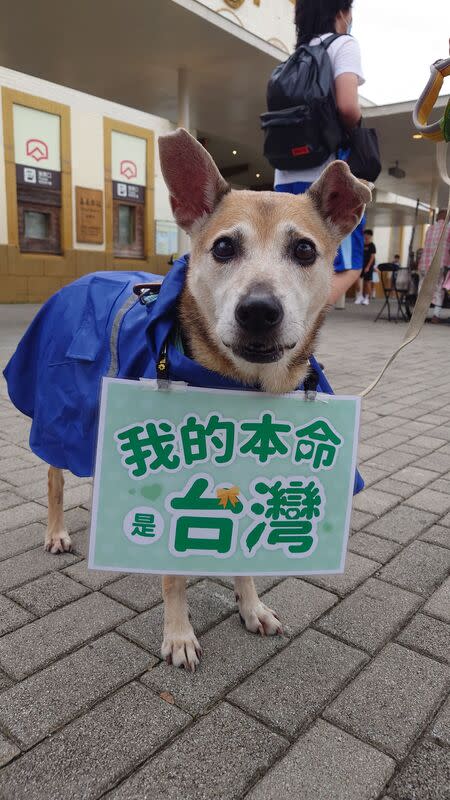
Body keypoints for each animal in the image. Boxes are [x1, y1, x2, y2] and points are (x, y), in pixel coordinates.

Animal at [44, 130, 370, 668]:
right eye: (223, 247)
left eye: (305, 250)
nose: (258, 310)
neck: (242, 385)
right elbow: (174, 575)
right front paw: (178, 634)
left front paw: (251, 606)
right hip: (61, 415)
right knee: (53, 479)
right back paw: (56, 532)